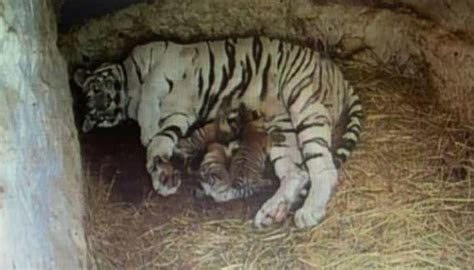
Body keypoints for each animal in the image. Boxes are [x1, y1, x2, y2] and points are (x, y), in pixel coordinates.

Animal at [73, 35, 362, 229]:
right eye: (98, 115)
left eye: (97, 90)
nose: (106, 103)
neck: (128, 92)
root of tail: (339, 74)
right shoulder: (177, 114)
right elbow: (161, 141)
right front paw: (162, 176)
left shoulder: (165, 60)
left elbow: (150, 92)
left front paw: (147, 130)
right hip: (281, 125)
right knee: (296, 172)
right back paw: (272, 212)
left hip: (305, 103)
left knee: (324, 168)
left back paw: (309, 211)